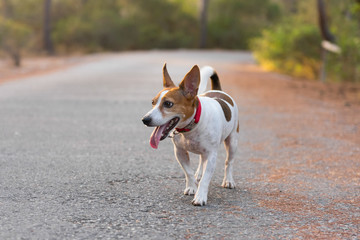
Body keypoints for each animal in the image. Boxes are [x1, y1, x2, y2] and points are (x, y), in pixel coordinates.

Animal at [141, 64, 239, 206]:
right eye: (153, 102)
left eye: (168, 104)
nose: (145, 120)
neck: (191, 126)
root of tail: (218, 90)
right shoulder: (180, 152)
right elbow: (188, 172)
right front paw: (192, 187)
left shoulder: (212, 155)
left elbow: (206, 179)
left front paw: (200, 196)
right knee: (201, 160)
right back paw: (199, 173)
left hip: (232, 142)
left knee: (229, 162)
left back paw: (229, 180)